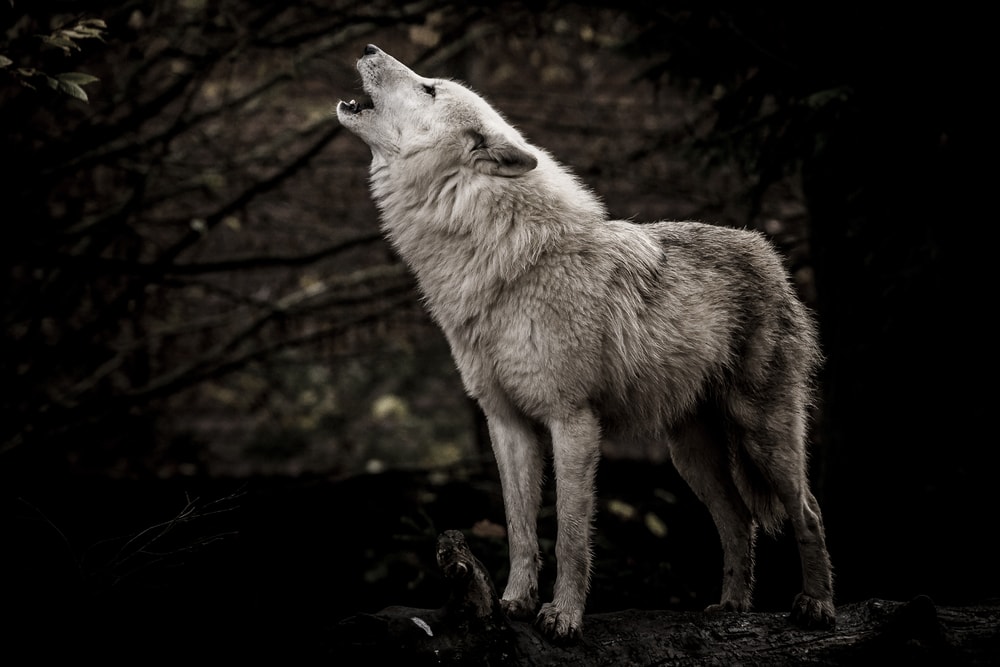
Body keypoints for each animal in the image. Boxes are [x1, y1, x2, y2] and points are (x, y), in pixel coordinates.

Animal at [337, 44, 835, 642]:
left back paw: (817, 606)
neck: (502, 262)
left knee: (808, 511)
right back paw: (732, 607)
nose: (369, 48)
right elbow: (520, 529)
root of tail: (767, 251)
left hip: (764, 435)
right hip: (689, 455)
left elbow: (572, 535)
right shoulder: (506, 423)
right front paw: (513, 603)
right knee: (738, 519)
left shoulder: (572, 420)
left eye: (430, 88)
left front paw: (564, 617)